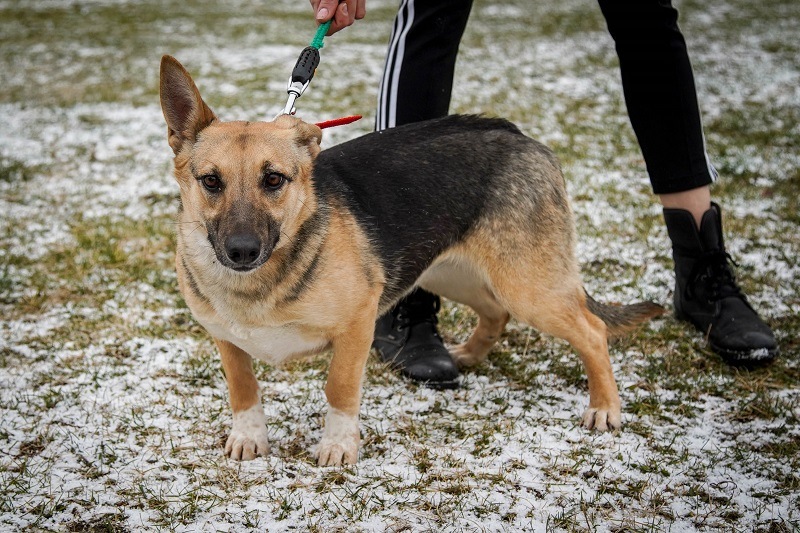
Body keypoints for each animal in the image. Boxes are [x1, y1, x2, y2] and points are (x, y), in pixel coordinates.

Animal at [156, 55, 664, 466]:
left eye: (274, 180)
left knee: (591, 331)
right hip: (450, 274)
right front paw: (250, 437)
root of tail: (518, 134)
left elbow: (340, 387)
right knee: (496, 313)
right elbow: (243, 388)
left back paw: (604, 407)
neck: (260, 280)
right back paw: (469, 355)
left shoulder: (357, 325)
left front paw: (338, 446)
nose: (241, 250)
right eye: (211, 181)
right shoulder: (226, 338)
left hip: (527, 286)